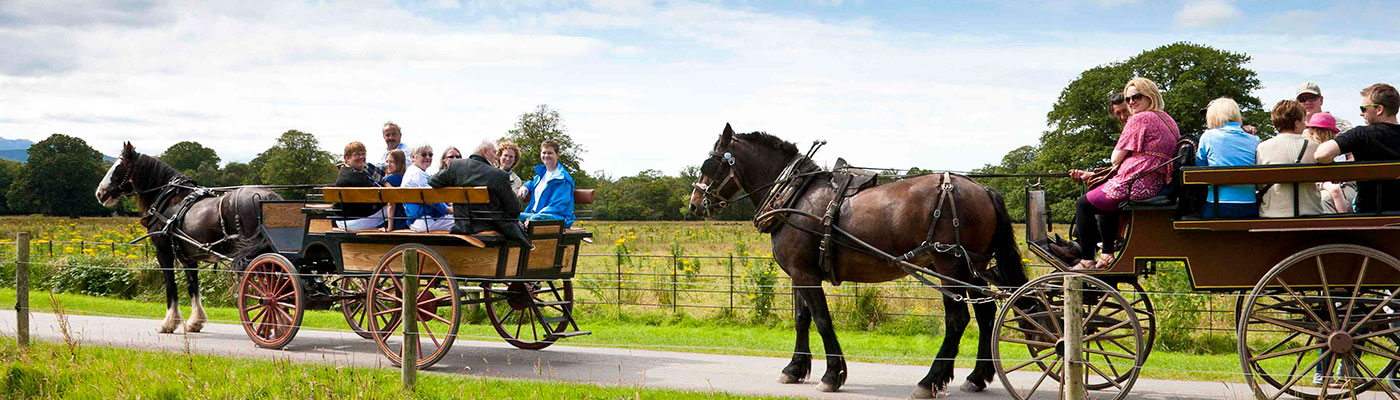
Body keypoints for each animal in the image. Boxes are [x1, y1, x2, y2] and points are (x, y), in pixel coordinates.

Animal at [95, 144, 275, 334]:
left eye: (118, 167)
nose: (99, 193)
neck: (169, 200)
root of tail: (268, 197)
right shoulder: (189, 257)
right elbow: (192, 287)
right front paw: (195, 322)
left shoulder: (164, 252)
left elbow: (170, 285)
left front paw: (169, 322)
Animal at [688, 125, 1030, 397]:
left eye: (710, 162)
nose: (694, 204)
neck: (795, 196)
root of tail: (982, 188)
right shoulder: (800, 273)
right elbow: (802, 319)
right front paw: (794, 369)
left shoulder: (806, 275)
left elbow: (822, 320)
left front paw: (832, 375)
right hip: (972, 268)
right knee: (986, 313)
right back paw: (976, 377)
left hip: (949, 266)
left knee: (957, 319)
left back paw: (930, 380)